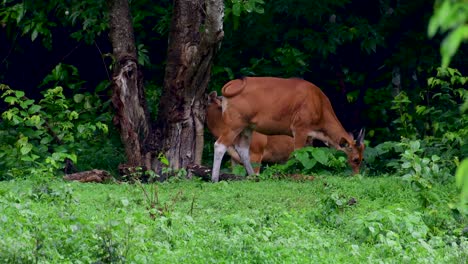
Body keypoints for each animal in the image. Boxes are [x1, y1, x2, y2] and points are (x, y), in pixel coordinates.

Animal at [212, 77, 366, 183]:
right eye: (356, 159)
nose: (357, 175)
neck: (319, 105)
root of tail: (232, 85)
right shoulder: (299, 129)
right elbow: (298, 154)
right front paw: (298, 175)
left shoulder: (309, 137)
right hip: (234, 125)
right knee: (220, 145)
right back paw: (214, 179)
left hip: (247, 127)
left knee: (242, 149)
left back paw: (253, 177)